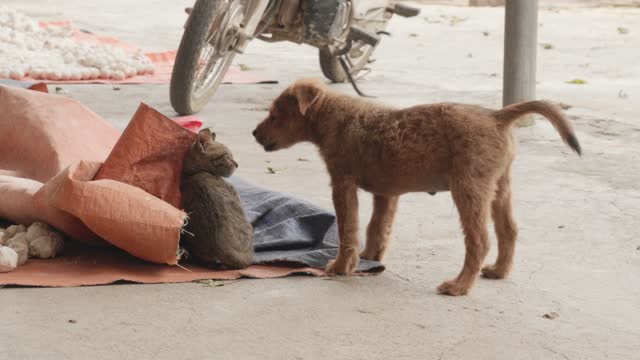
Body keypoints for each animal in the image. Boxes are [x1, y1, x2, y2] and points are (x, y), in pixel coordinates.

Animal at [252, 79, 584, 296]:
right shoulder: (385, 193)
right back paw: (498, 271)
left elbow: (349, 228)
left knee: (479, 240)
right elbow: (376, 227)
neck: (334, 116)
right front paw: (370, 257)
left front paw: (342, 266)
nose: (254, 133)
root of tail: (497, 115)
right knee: (509, 230)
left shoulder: (342, 183)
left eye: (275, 115)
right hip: (499, 187)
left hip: (469, 188)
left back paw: (459, 286)